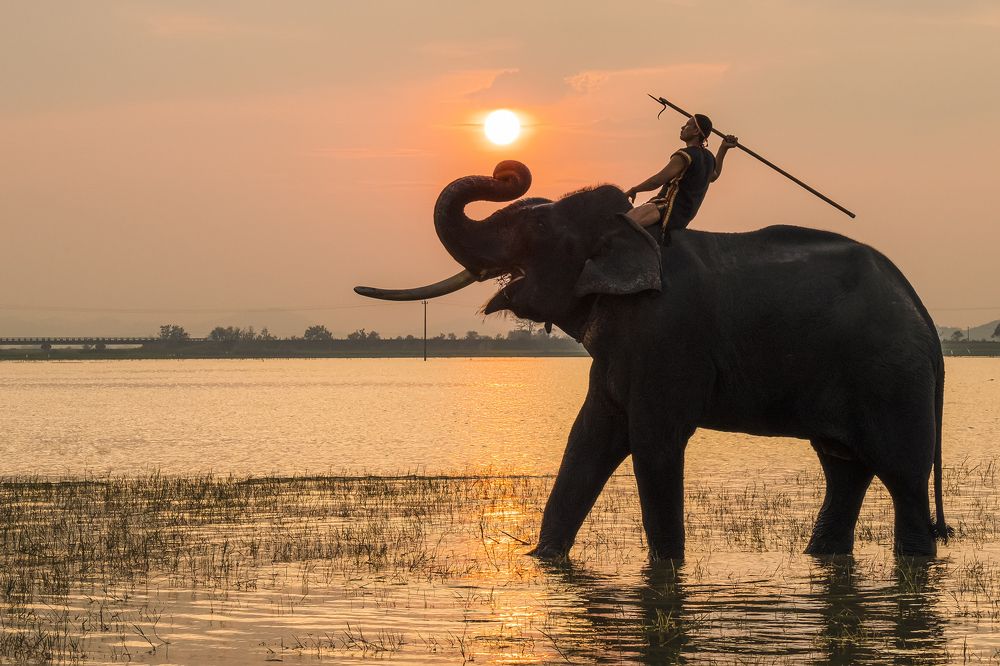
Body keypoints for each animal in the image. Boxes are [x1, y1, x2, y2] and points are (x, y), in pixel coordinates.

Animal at [355, 160, 949, 559]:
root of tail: (923, 313)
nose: (508, 169)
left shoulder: (667, 337)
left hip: (893, 378)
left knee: (902, 475)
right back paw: (821, 555)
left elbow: (653, 443)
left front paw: (666, 566)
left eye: (539, 229)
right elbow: (587, 440)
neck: (633, 228)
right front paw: (542, 560)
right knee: (843, 468)